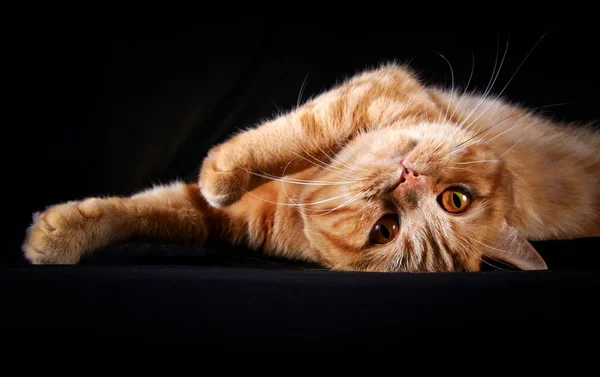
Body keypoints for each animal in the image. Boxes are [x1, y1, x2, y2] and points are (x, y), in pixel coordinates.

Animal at [19, 64, 600, 270]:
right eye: (456, 199)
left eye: (386, 229)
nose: (407, 180)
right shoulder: (384, 91)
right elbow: (145, 209)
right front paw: (61, 232)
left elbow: (178, 206)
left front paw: (219, 170)